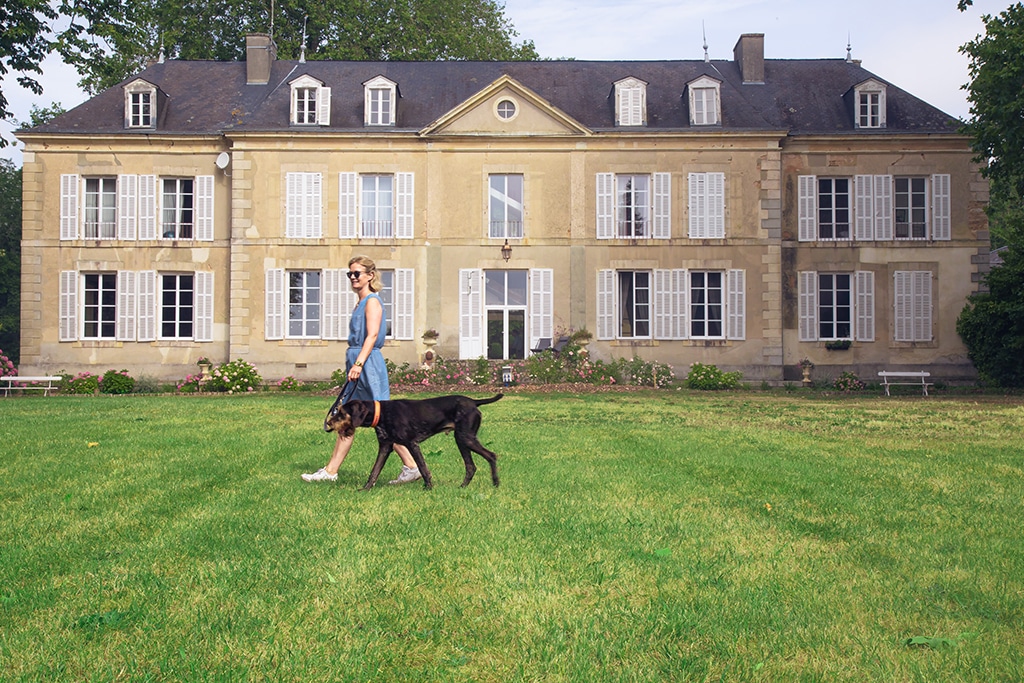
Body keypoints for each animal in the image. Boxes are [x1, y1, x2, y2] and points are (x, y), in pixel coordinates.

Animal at [323, 389, 503, 491]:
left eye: (341, 413)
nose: (329, 423)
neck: (382, 413)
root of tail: (474, 402)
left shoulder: (412, 444)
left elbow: (423, 468)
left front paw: (428, 488)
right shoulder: (385, 447)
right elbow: (374, 471)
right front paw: (365, 489)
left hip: (465, 438)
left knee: (491, 456)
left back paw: (495, 483)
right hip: (462, 440)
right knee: (471, 466)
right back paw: (463, 487)